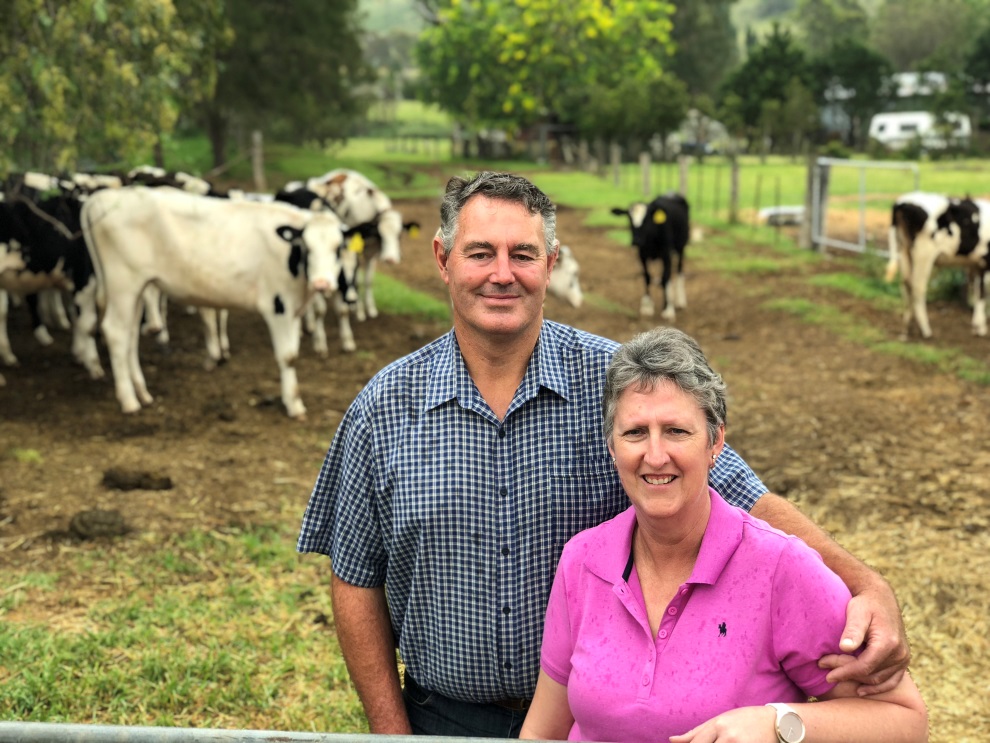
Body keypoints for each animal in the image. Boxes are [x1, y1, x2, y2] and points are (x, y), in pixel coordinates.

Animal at [82, 186, 352, 418]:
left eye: (338, 248)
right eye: (307, 246)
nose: (322, 284)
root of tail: (101, 197)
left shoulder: (294, 309)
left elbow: (293, 354)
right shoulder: (278, 306)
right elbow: (287, 357)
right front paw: (294, 406)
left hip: (137, 288)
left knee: (130, 335)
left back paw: (142, 392)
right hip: (123, 283)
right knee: (116, 332)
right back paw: (129, 400)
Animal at [888, 193, 988, 342]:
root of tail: (903, 202)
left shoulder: (976, 264)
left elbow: (978, 293)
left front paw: (977, 326)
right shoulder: (986, 262)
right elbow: (983, 293)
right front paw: (981, 328)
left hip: (904, 251)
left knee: (906, 285)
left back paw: (907, 329)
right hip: (923, 254)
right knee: (918, 287)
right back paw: (925, 330)